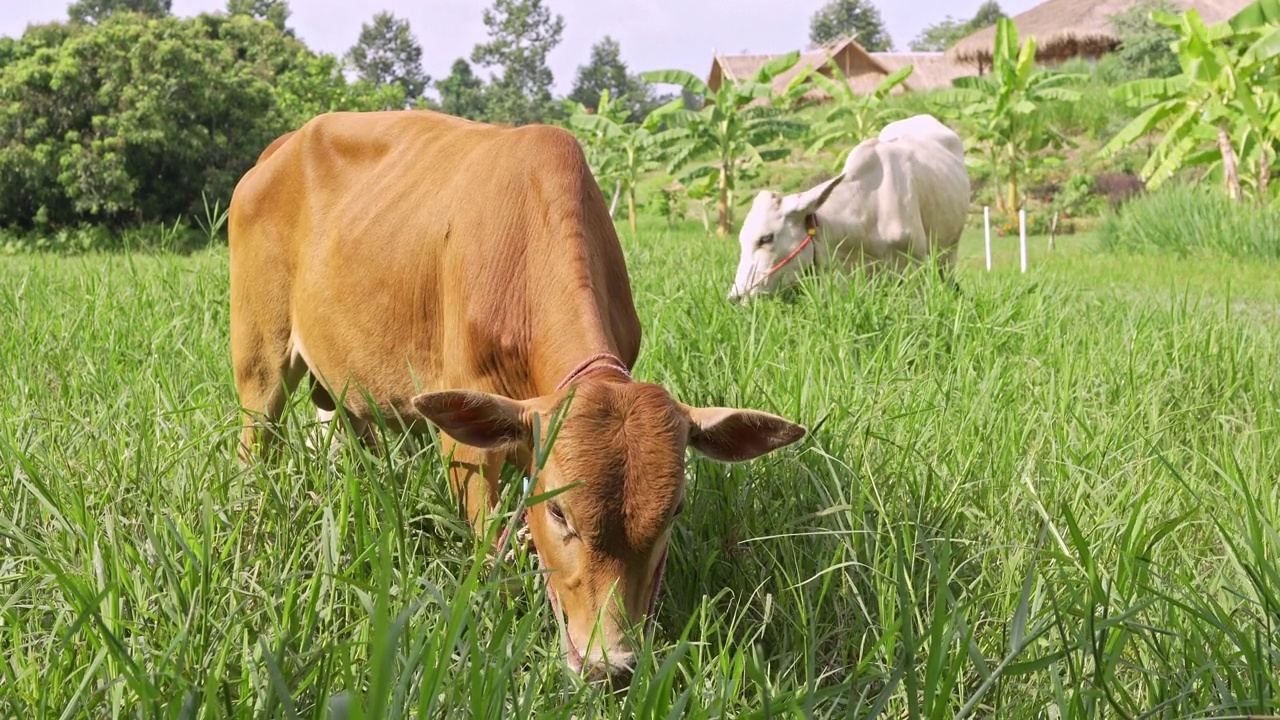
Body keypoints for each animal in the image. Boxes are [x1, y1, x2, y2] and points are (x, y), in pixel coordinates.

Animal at [226, 109, 803, 681]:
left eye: (675, 511)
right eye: (559, 512)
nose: (610, 666)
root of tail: (276, 150)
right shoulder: (466, 441)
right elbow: (488, 548)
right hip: (259, 360)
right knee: (255, 446)